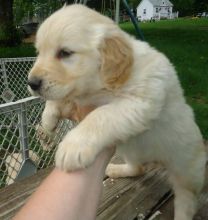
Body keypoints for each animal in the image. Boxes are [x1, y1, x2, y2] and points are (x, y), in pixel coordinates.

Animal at [28, 4, 206, 219]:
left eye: (65, 53)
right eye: (39, 52)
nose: (31, 83)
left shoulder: (140, 102)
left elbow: (100, 115)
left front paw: (73, 145)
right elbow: (60, 98)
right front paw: (48, 120)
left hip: (186, 170)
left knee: (186, 199)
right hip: (131, 150)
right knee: (138, 168)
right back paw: (117, 169)